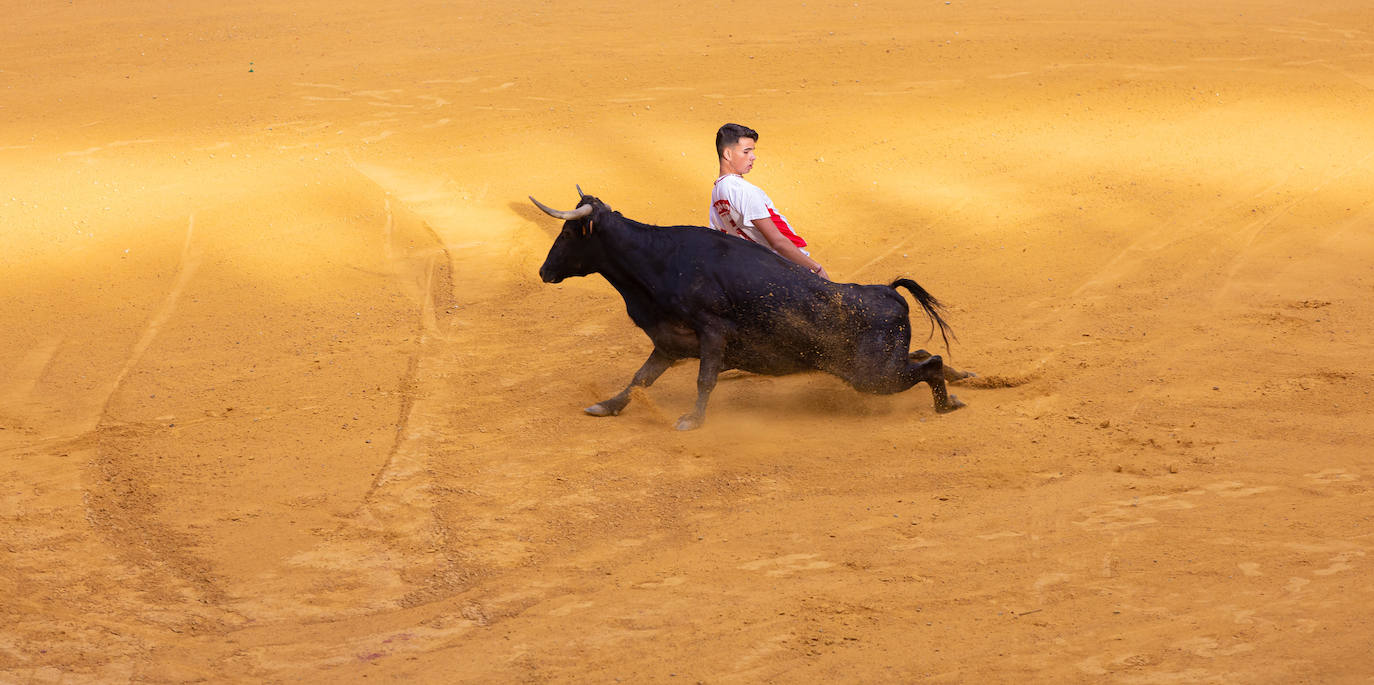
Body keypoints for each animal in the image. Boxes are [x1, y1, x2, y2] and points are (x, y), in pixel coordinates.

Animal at [527, 190, 967, 431]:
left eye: (567, 233)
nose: (544, 271)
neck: (658, 259)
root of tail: (888, 292)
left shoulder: (711, 331)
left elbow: (704, 380)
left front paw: (691, 420)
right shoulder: (669, 341)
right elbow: (640, 379)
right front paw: (606, 406)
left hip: (872, 376)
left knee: (929, 363)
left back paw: (948, 404)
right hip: (878, 368)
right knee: (925, 355)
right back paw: (959, 384)